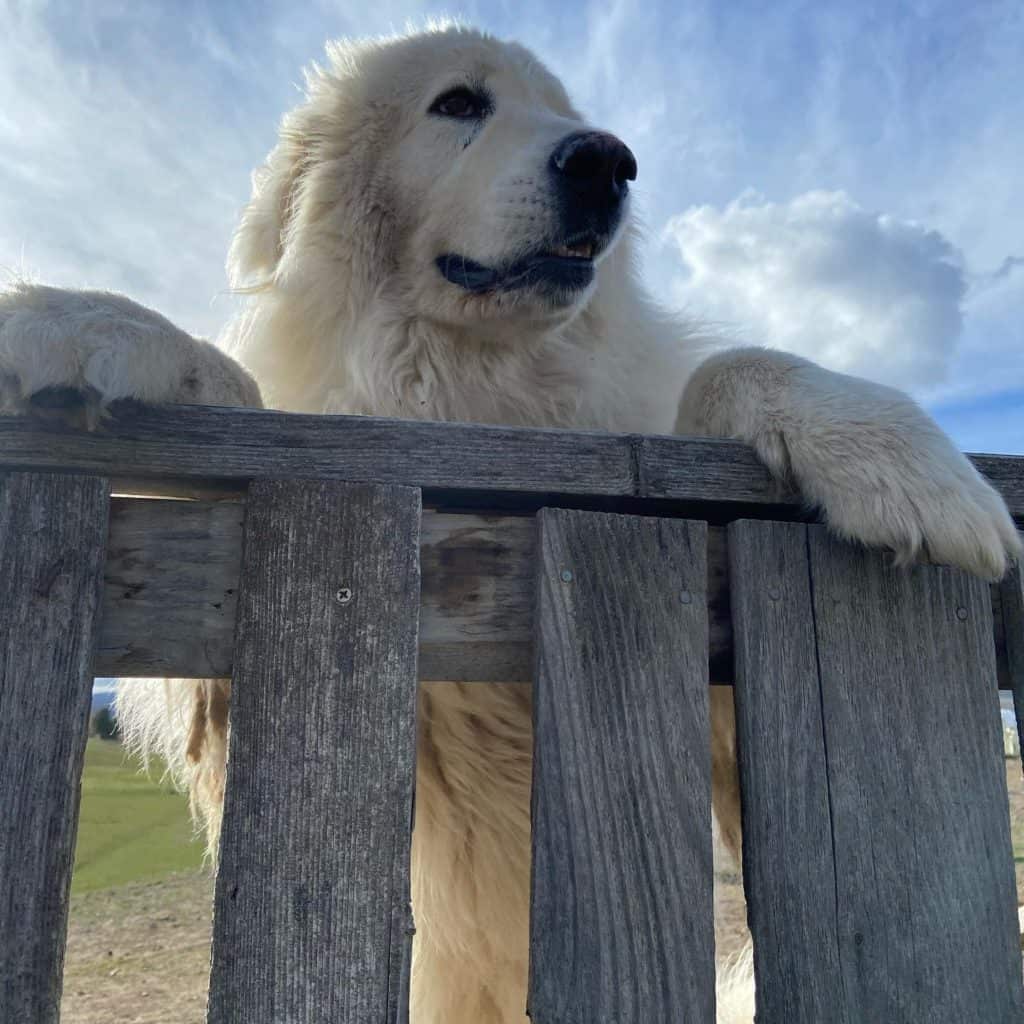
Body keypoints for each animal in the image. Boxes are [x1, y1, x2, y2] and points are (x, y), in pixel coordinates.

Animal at [0, 24, 1019, 1024]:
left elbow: (725, 369)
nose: (608, 160)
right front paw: (85, 323)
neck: (476, 383)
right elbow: (241, 402)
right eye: (459, 103)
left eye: (567, 116)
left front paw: (891, 454)